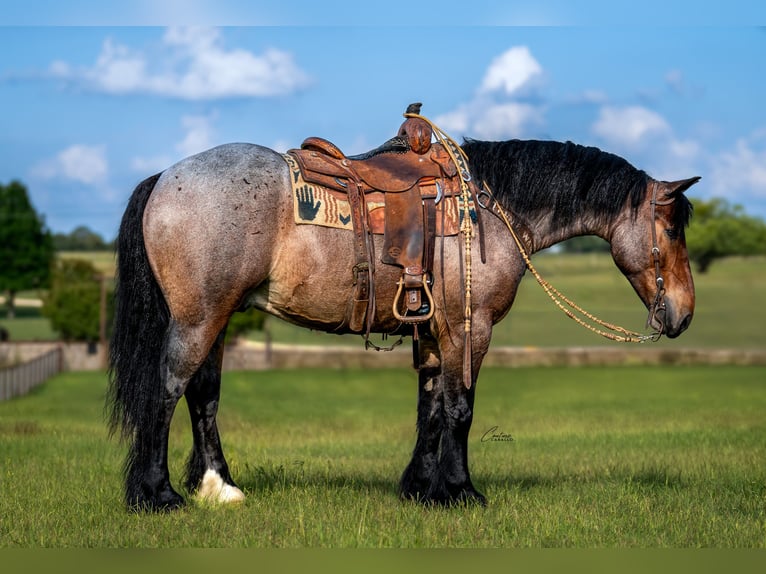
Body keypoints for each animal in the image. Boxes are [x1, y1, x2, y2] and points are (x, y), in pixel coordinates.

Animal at [107, 135, 699, 511]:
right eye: (671, 229)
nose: (685, 313)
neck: (489, 209)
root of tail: (167, 177)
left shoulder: (434, 334)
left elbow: (431, 408)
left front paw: (420, 488)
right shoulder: (469, 330)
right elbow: (460, 408)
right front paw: (460, 491)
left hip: (219, 317)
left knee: (203, 394)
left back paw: (220, 488)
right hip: (199, 318)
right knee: (167, 389)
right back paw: (157, 494)